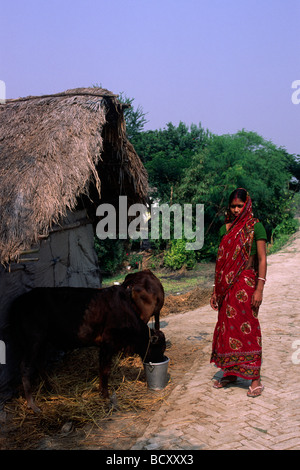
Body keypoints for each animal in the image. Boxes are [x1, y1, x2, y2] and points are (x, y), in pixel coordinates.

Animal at [8, 282, 166, 412]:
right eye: (158, 348)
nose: (161, 360)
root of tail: (18, 302)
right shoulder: (108, 343)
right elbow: (105, 370)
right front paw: (105, 395)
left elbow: (102, 369)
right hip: (34, 340)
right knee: (25, 366)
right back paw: (32, 404)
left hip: (43, 342)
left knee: (40, 363)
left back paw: (50, 388)